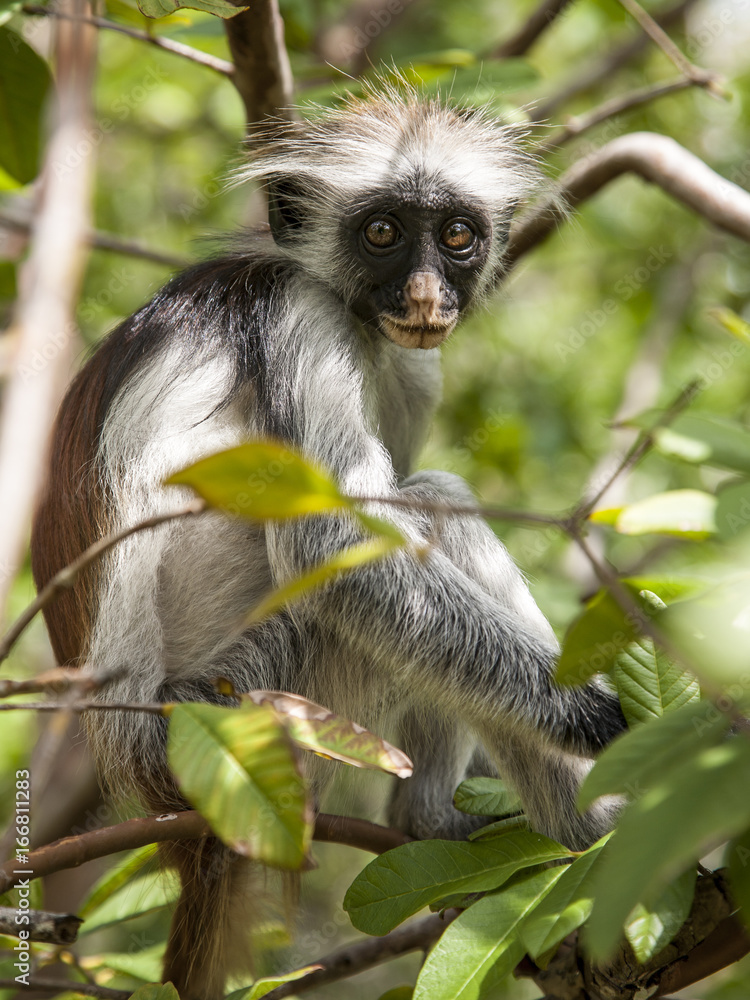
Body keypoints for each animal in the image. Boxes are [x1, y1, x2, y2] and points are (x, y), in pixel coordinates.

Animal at [31, 88, 626, 1000]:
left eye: (458, 235)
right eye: (381, 231)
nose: (425, 293)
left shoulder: (409, 363)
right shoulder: (303, 320)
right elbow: (334, 551)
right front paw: (599, 721)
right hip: (255, 702)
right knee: (431, 505)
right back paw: (569, 834)